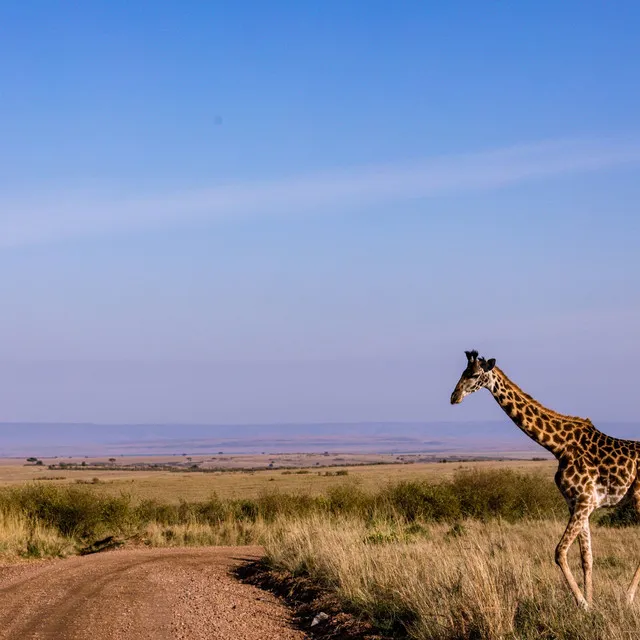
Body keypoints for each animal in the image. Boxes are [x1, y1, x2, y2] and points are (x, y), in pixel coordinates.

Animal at [450, 348, 640, 608]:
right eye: (463, 372)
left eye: (475, 374)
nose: (454, 396)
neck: (559, 446)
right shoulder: (578, 504)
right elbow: (586, 557)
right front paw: (591, 604)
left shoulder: (584, 501)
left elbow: (559, 552)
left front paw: (582, 603)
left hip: (639, 498)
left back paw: (628, 597)